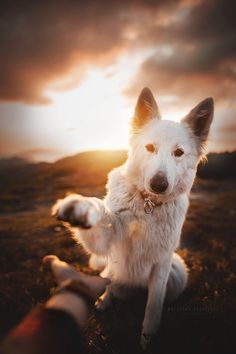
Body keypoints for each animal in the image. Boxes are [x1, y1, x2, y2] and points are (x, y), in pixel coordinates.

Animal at [53, 88, 214, 348]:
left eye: (178, 153)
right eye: (149, 147)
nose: (158, 184)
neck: (148, 204)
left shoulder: (162, 263)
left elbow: (153, 305)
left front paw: (149, 337)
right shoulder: (107, 239)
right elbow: (98, 211)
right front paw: (81, 206)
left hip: (177, 272)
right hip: (113, 267)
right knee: (109, 282)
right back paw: (105, 299)